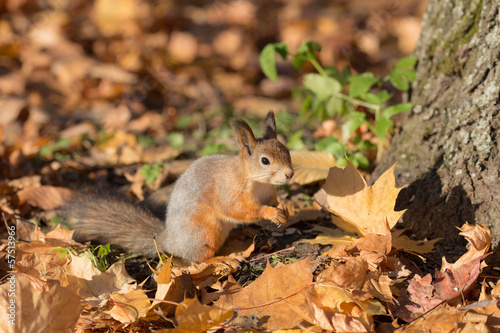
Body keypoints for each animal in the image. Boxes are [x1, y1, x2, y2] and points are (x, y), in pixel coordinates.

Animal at [64, 111, 294, 262]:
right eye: (265, 161)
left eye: (287, 150)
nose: (290, 174)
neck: (258, 181)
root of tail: (171, 243)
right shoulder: (230, 191)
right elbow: (240, 210)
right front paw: (269, 213)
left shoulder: (268, 192)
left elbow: (273, 201)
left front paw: (283, 209)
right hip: (203, 233)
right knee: (199, 260)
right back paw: (223, 259)